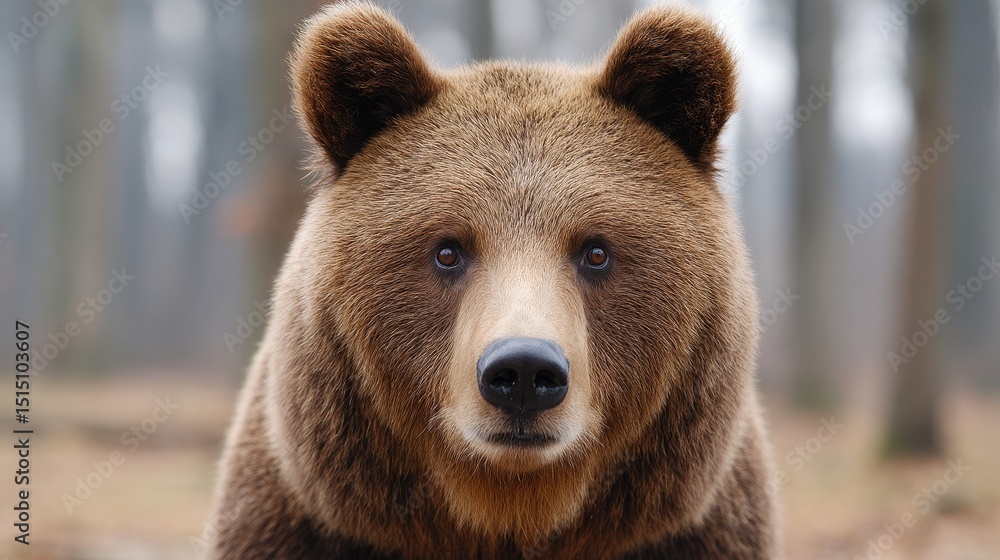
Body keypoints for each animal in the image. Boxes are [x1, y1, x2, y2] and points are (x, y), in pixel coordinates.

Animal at [204, 2, 777, 558]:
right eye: (448, 250)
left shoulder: (696, 533)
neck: (505, 510)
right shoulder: (302, 525)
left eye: (595, 251)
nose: (523, 370)